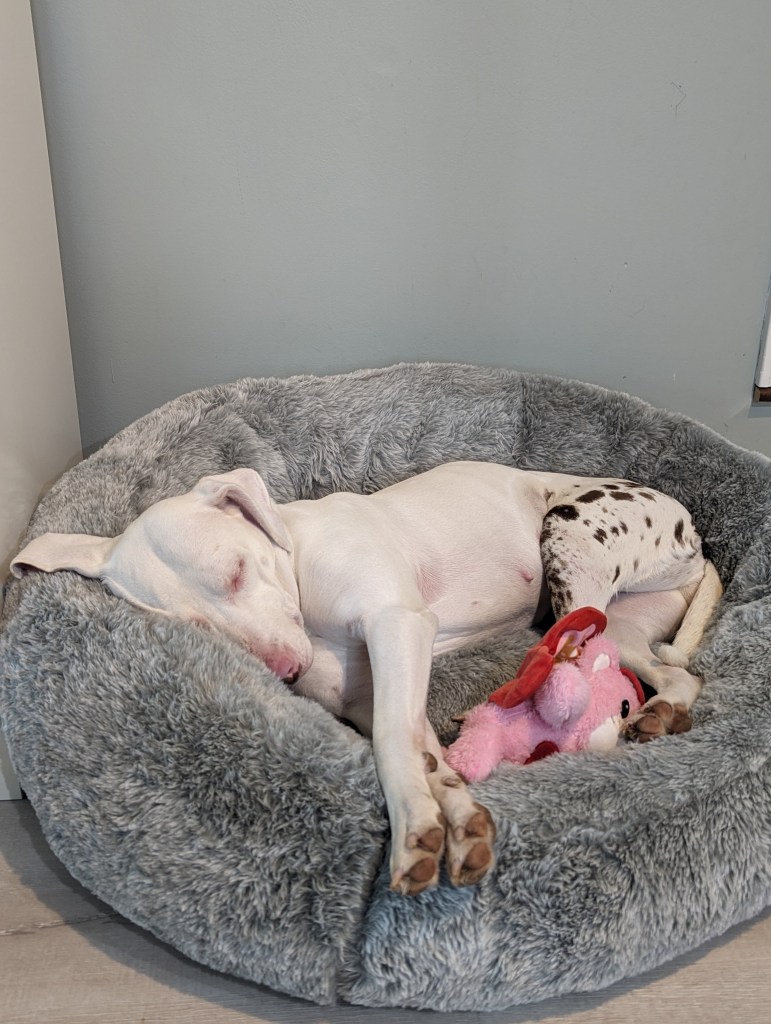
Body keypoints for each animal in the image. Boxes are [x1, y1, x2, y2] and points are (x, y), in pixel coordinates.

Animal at [13, 464, 720, 897]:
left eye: (237, 570)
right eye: (198, 627)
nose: (286, 672)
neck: (295, 555)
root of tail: (695, 537)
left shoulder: (397, 626)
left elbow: (390, 743)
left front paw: (412, 834)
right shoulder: (375, 689)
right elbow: (421, 750)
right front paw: (456, 817)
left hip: (570, 531)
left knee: (580, 657)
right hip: (627, 627)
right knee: (667, 675)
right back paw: (657, 713)